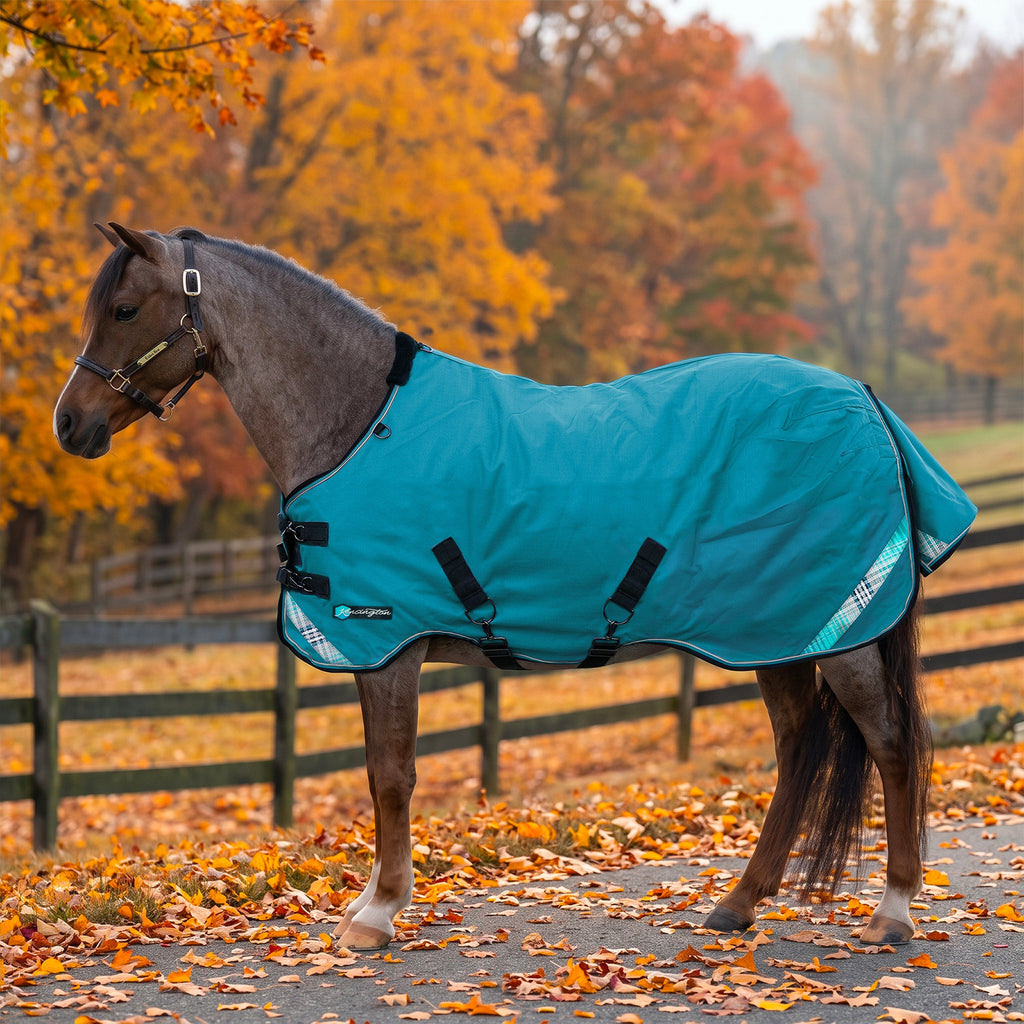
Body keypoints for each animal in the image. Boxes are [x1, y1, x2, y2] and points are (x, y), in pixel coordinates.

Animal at [54, 223, 975, 951]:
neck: (356, 425)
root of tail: (864, 400)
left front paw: (377, 915)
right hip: (778, 634)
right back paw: (739, 904)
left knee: (890, 746)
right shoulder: (378, 652)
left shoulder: (385, 642)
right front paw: (370, 903)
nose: (70, 424)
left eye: (125, 309)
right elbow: (379, 773)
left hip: (839, 632)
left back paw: (893, 911)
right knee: (798, 749)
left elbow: (390, 776)